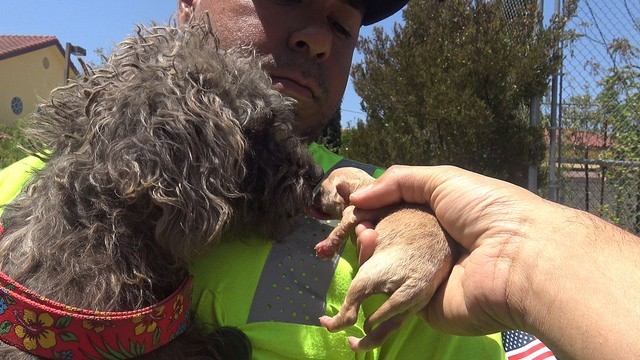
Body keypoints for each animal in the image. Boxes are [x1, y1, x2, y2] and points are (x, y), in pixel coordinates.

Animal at [310, 168, 456, 352]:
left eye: (321, 191)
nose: (312, 197)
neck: (365, 184)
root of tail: (422, 281)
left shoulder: (353, 212)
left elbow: (339, 230)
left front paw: (325, 248)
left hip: (369, 273)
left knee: (350, 315)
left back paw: (329, 322)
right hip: (406, 309)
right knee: (381, 333)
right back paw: (356, 342)